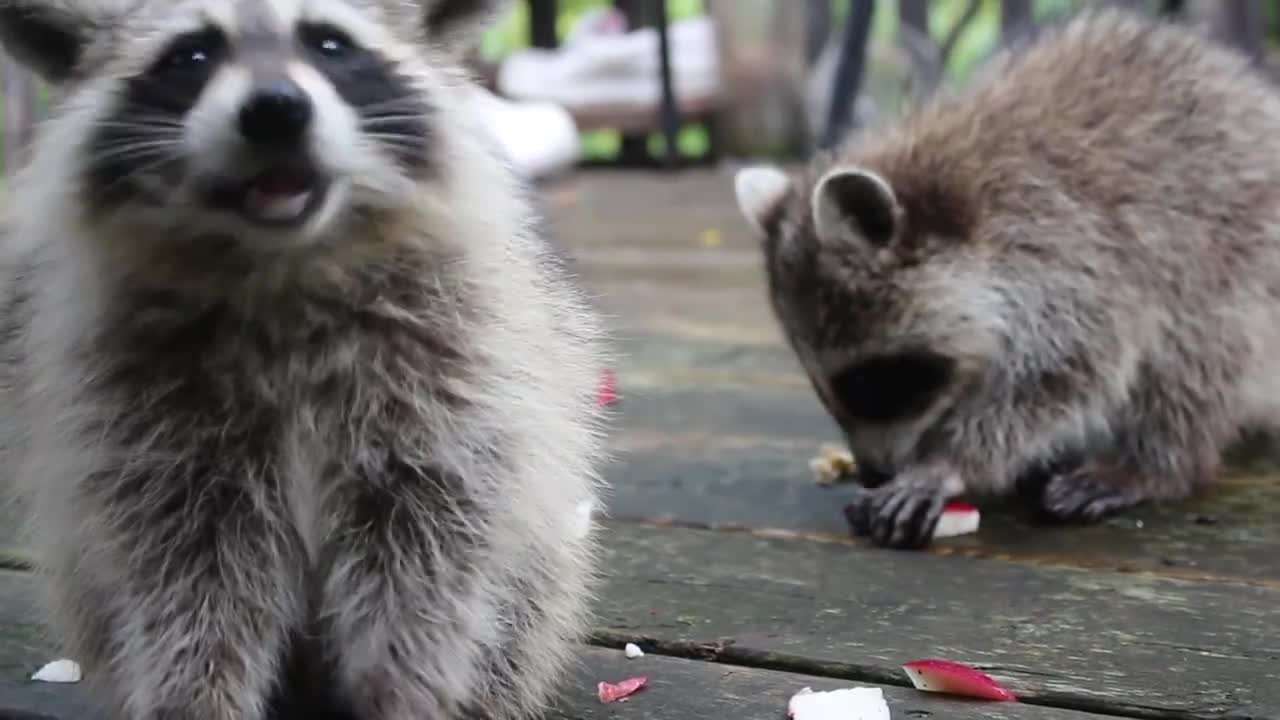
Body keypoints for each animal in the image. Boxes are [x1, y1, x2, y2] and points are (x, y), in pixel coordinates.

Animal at [0, 1, 606, 717]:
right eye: (191, 55)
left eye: (329, 44)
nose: (274, 109)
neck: (283, 263)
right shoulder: (143, 417)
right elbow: (188, 581)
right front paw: (197, 694)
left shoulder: (454, 377)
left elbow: (428, 558)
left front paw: (398, 689)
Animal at [737, 8, 1280, 548]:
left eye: (871, 382)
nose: (873, 473)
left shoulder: (1073, 250)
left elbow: (1068, 370)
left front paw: (949, 461)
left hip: (1238, 256)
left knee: (1195, 353)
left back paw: (1152, 464)